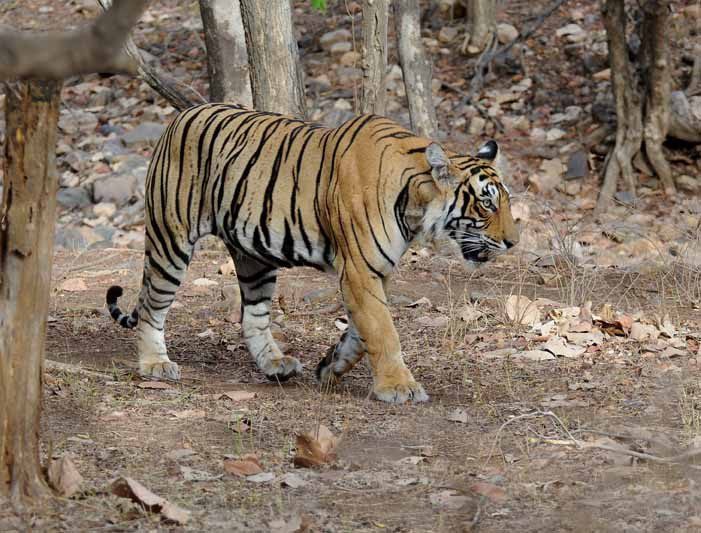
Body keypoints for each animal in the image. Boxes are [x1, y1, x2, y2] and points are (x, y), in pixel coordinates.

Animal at [106, 103, 519, 404]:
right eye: (486, 204)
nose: (514, 242)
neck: (415, 202)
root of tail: (178, 117)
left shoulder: (376, 270)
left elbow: (362, 331)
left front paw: (331, 366)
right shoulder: (359, 269)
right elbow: (383, 330)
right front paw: (399, 387)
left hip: (254, 257)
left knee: (253, 316)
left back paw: (275, 365)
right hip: (170, 240)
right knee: (152, 307)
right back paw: (155, 364)